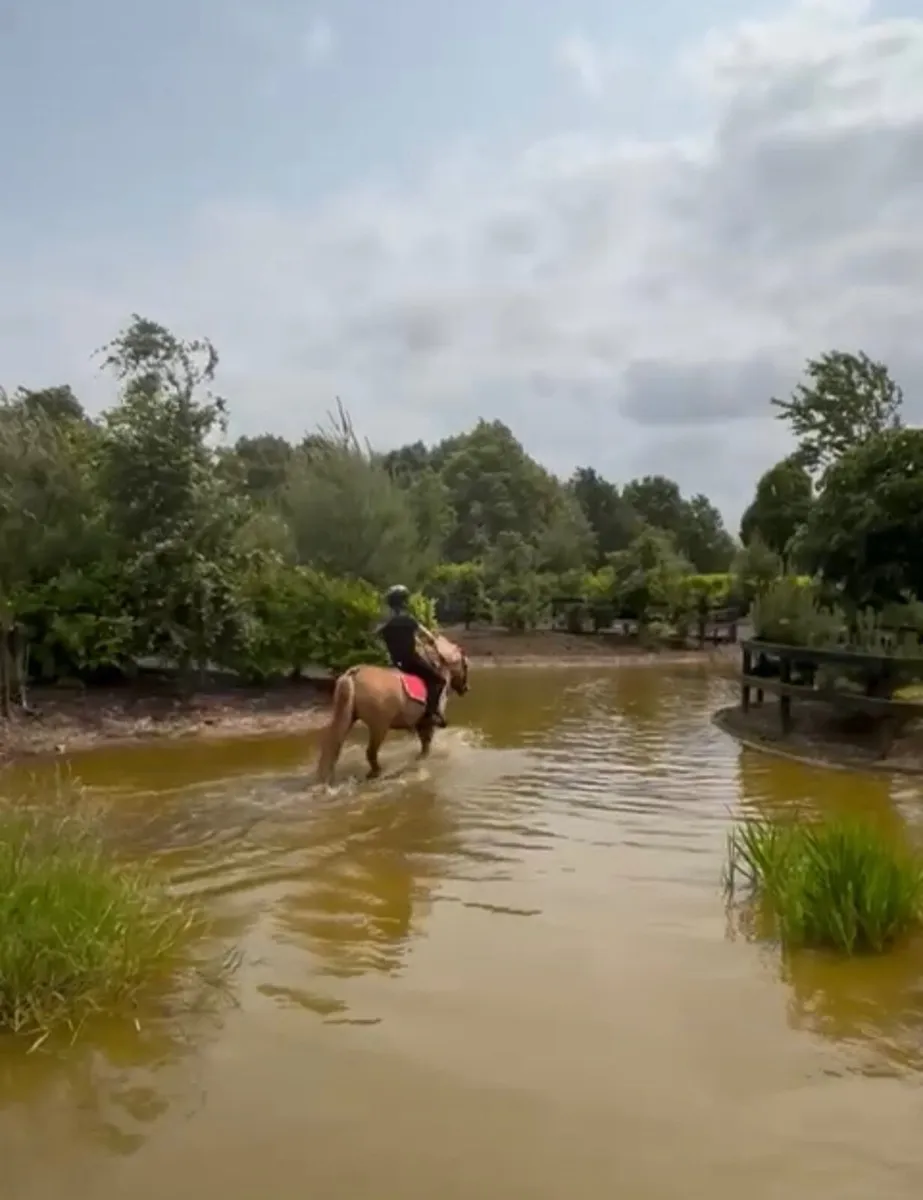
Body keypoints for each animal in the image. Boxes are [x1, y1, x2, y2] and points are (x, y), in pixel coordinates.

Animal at [314, 634, 470, 784]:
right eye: (465, 665)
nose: (466, 689)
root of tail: (354, 673)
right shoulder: (427, 722)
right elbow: (426, 745)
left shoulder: (420, 723)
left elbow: (423, 744)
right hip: (379, 727)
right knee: (370, 753)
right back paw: (377, 773)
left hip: (347, 719)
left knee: (334, 747)